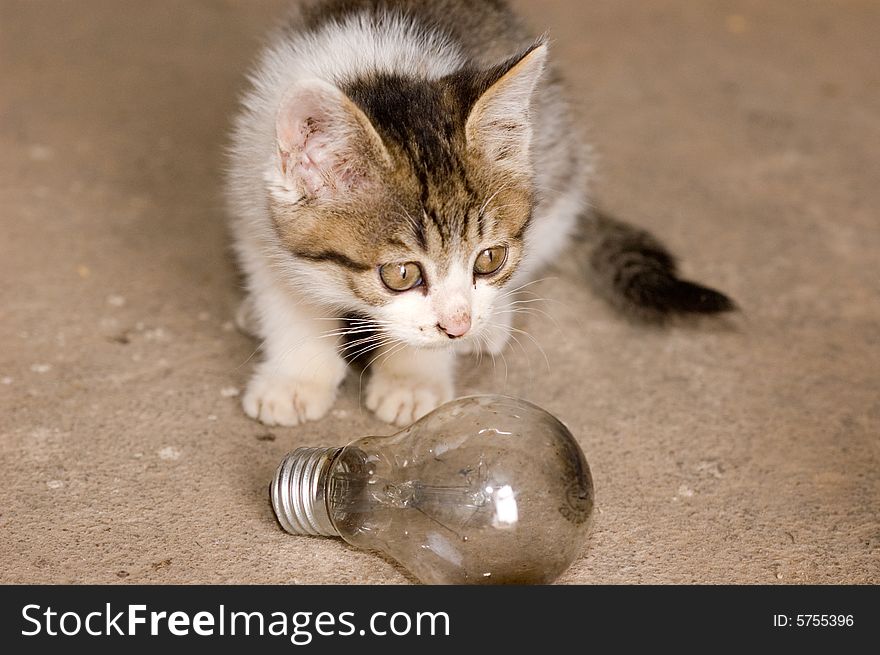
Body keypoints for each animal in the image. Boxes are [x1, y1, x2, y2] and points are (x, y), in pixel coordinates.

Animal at [223, 0, 732, 430]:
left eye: (489, 259)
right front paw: (295, 378)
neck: (374, 66)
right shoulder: (254, 209)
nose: (459, 326)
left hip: (559, 158)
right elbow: (286, 300)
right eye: (402, 274)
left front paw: (413, 378)